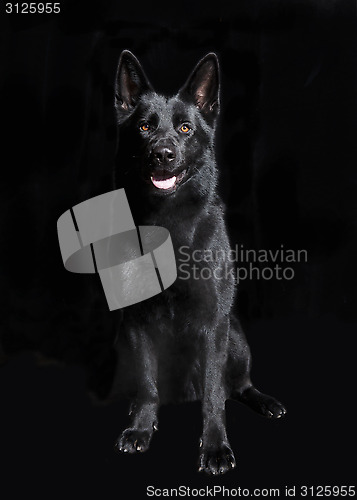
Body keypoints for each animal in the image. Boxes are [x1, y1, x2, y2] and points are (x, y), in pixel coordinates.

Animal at [111, 50, 284, 476]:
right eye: (144, 127)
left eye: (186, 128)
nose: (163, 153)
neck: (169, 227)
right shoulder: (137, 323)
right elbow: (147, 382)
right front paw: (141, 428)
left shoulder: (213, 326)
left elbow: (213, 393)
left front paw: (216, 446)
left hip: (234, 336)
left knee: (237, 386)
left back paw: (265, 400)